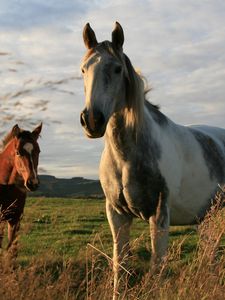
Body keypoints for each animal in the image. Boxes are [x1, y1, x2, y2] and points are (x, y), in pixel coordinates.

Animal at [80, 22, 225, 296]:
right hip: (206, 218)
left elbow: (157, 269)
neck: (126, 157)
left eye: (117, 69)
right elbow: (120, 268)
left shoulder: (158, 215)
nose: (92, 120)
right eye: (83, 69)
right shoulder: (117, 215)